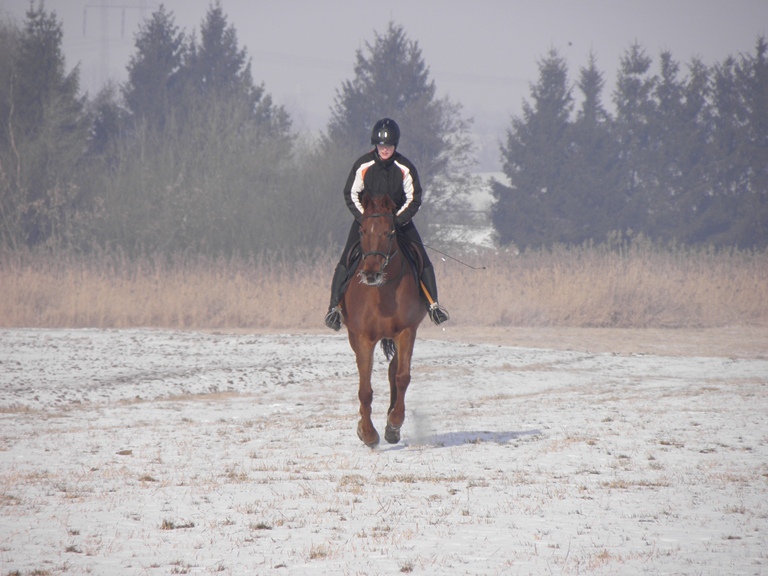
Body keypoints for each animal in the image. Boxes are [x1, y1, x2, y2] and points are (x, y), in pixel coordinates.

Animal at [340, 191, 426, 448]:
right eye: (362, 231)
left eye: (390, 232)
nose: (371, 273)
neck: (383, 292)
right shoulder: (363, 338)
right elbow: (365, 389)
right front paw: (367, 433)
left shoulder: (406, 332)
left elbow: (402, 377)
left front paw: (393, 425)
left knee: (393, 370)